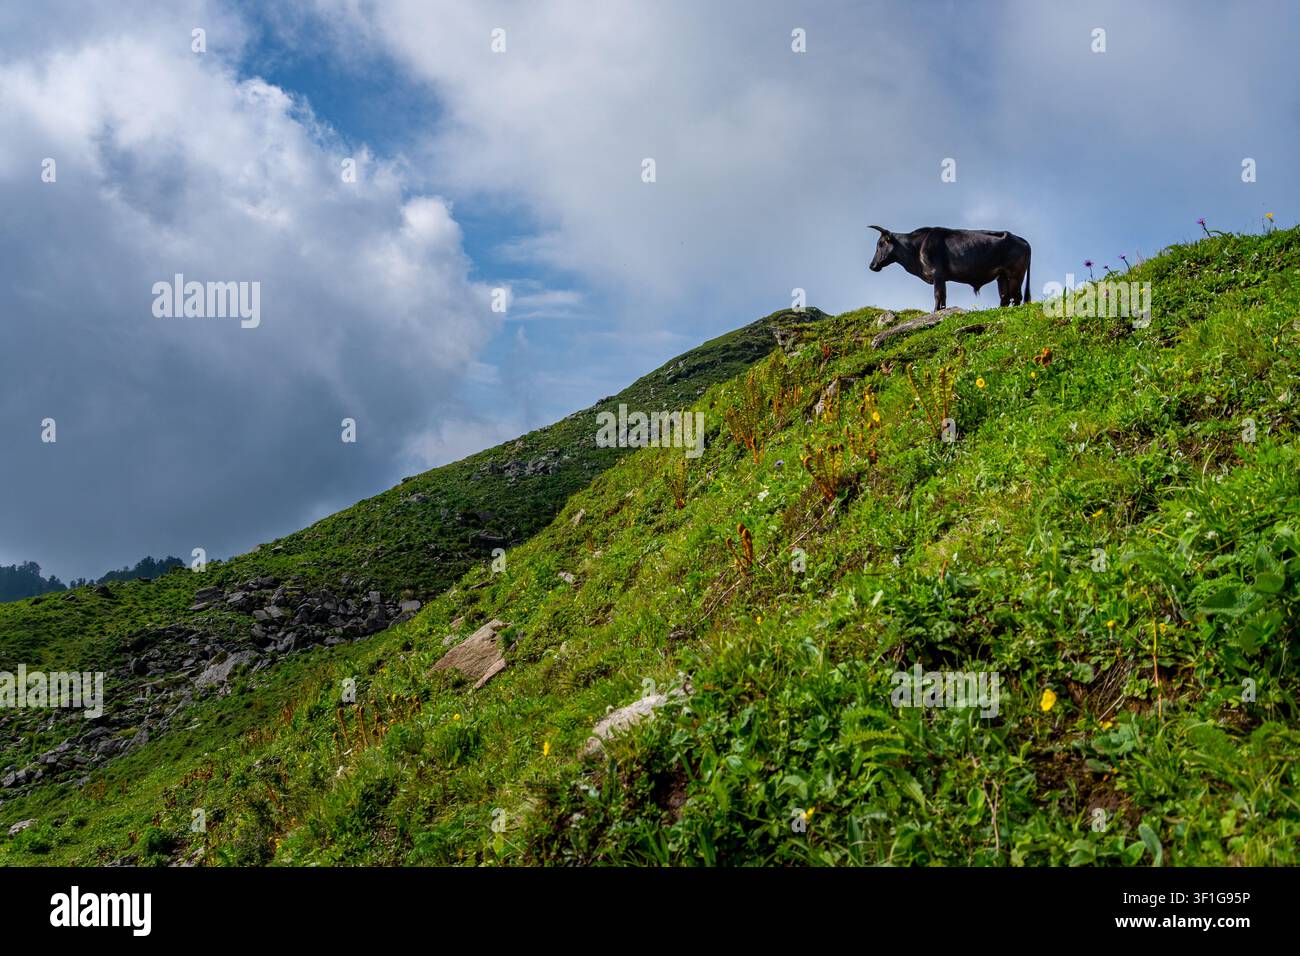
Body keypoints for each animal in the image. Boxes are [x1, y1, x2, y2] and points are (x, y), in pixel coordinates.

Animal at [868, 225, 1032, 311]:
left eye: (880, 244)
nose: (872, 265)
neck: (917, 247)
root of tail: (1021, 240)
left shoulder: (937, 274)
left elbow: (937, 295)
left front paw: (935, 311)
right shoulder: (942, 278)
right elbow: (944, 296)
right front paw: (942, 310)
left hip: (1016, 275)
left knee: (1016, 297)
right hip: (1002, 276)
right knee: (1005, 297)